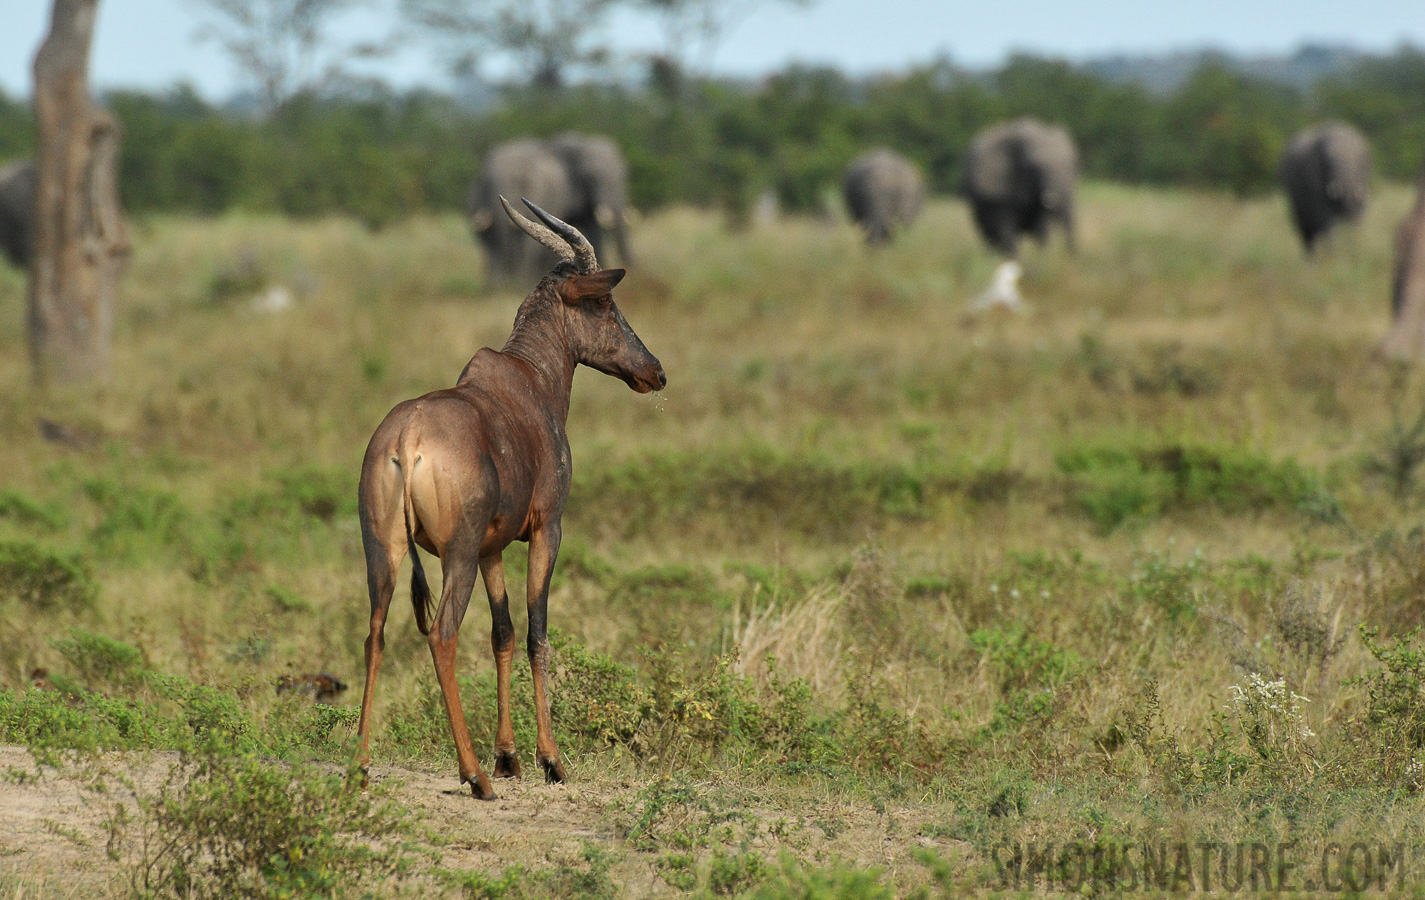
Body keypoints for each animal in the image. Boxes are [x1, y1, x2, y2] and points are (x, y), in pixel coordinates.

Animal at [356, 196, 666, 791]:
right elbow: (536, 632)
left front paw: (510, 755)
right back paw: (474, 776)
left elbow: (501, 633)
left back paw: (360, 765)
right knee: (442, 635)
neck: (528, 380)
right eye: (604, 302)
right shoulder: (546, 530)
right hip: (454, 556)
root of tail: (407, 440)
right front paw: (550, 759)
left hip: (383, 552)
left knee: (375, 635)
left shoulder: (493, 548)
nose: (656, 371)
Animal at [963, 116, 1071, 256]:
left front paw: (1043, 258)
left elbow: (1043, 228)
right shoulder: (999, 194)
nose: (1050, 198)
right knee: (989, 235)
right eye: (1033, 169)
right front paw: (1014, 258)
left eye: (1069, 167)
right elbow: (1006, 229)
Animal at [1282, 119, 1368, 253]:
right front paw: (1334, 253)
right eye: (1327, 162)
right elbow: (1327, 220)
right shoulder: (1312, 178)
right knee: (1306, 233)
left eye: (1360, 160)